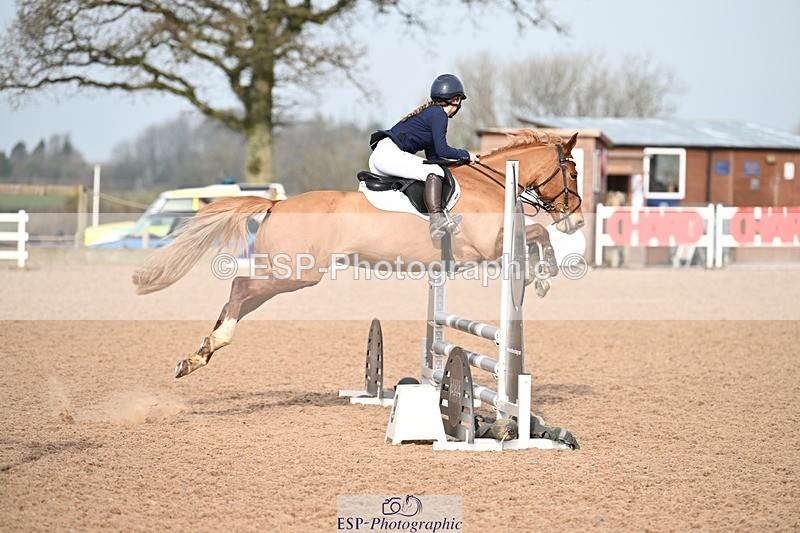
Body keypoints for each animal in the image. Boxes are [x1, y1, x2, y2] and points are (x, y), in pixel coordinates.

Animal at [132, 130, 584, 378]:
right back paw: (213, 343)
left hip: (285, 273)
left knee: (238, 299)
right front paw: (543, 276)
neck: (491, 184)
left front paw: (539, 275)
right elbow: (538, 233)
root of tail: (278, 204)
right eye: (574, 171)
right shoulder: (490, 244)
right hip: (294, 274)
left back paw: (197, 356)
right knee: (241, 287)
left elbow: (535, 235)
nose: (577, 221)